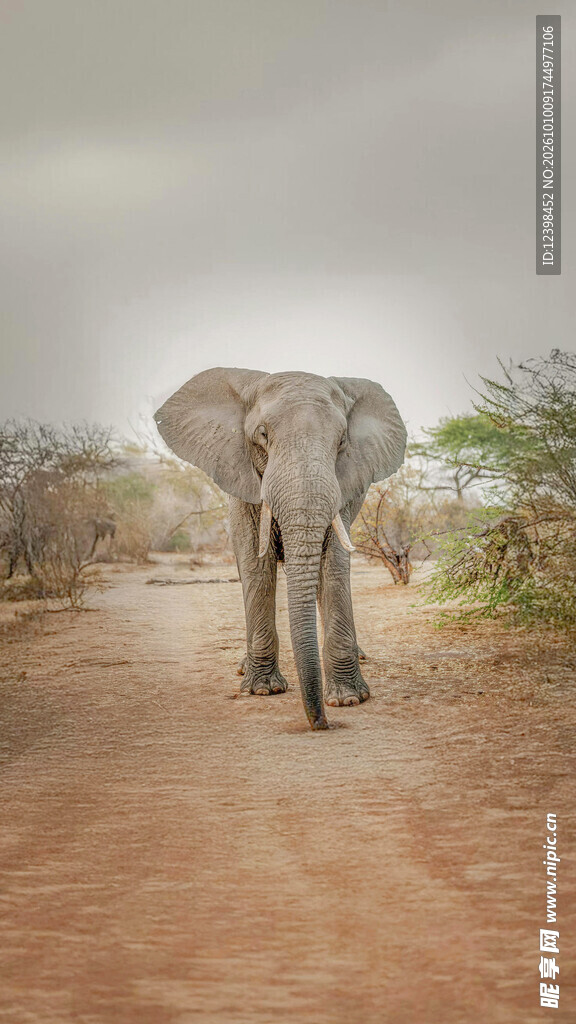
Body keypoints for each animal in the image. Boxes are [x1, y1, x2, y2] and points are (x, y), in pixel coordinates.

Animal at [154, 368, 406, 731]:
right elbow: (256, 566)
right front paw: (263, 690)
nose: (321, 724)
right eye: (262, 435)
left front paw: (348, 699)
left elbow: (333, 566)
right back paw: (245, 669)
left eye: (341, 441)